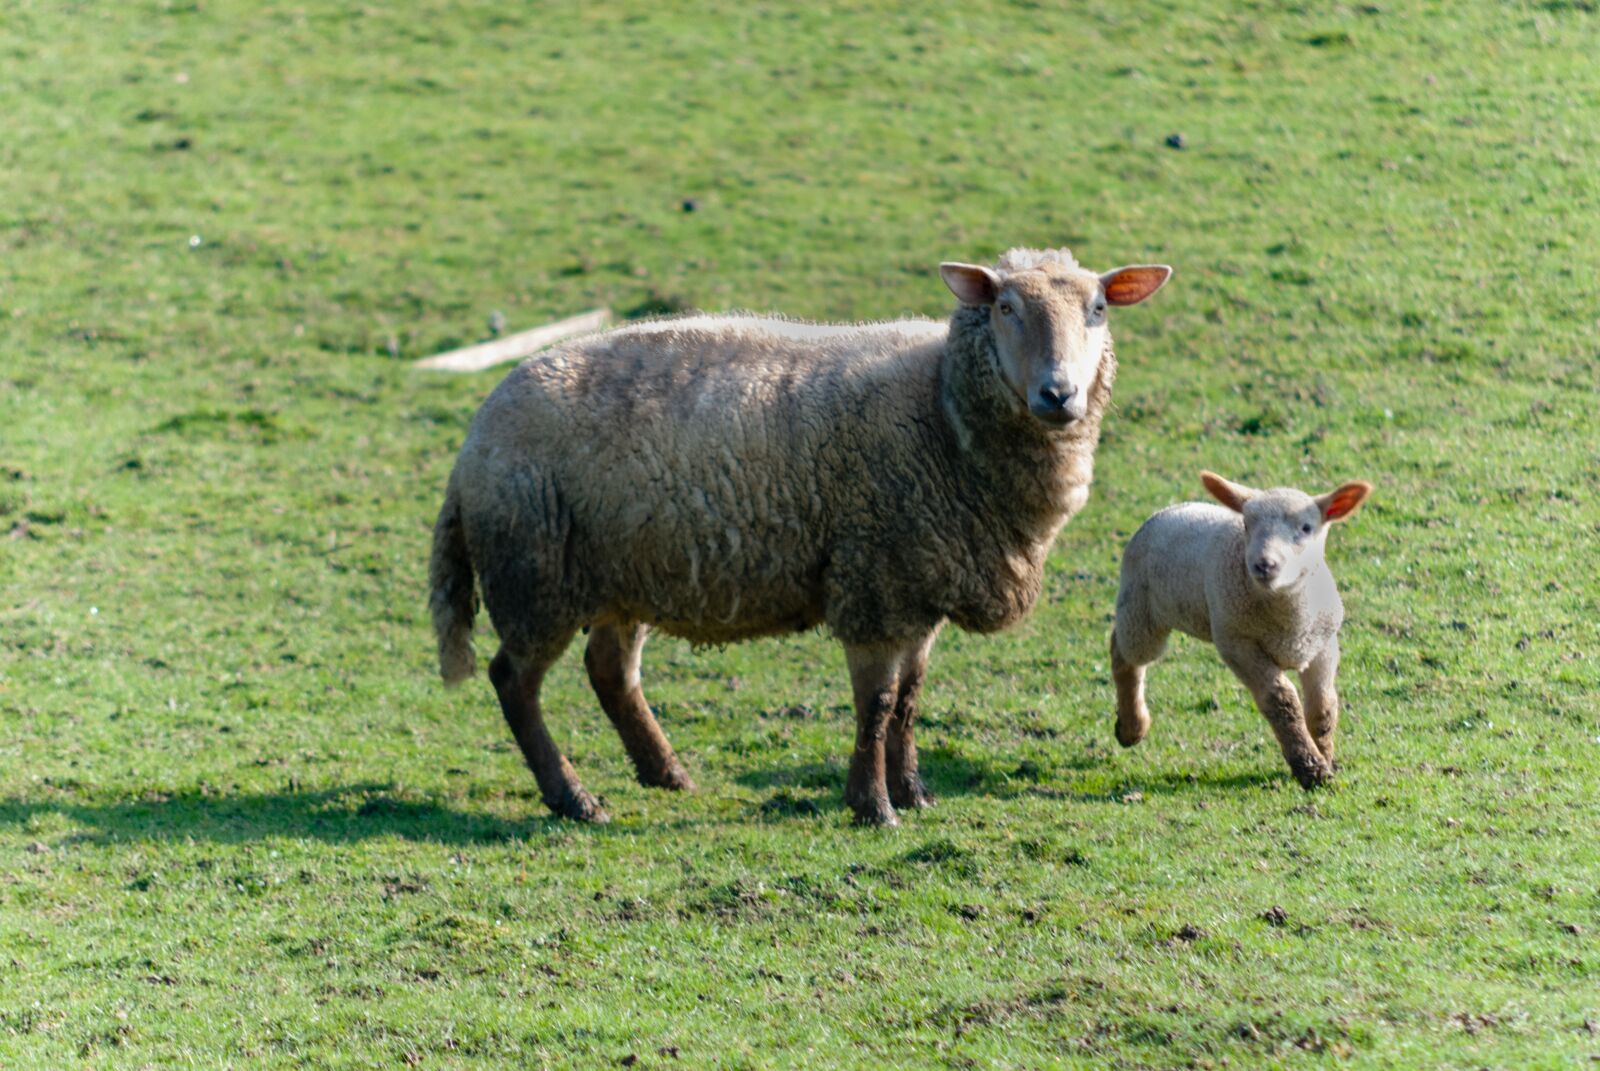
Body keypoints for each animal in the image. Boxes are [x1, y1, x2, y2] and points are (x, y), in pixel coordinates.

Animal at [430, 248, 1172, 825]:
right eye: (1005, 308)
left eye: (1099, 309)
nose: (1059, 394)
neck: (938, 406)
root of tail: (471, 443)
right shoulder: (874, 580)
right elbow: (875, 705)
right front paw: (873, 806)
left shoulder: (920, 584)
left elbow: (909, 702)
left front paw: (914, 792)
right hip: (534, 571)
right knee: (514, 681)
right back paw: (572, 797)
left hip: (623, 572)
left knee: (610, 671)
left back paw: (666, 772)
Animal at [1110, 471, 1373, 788]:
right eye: (1247, 524)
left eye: (1306, 527)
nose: (1263, 565)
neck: (1289, 618)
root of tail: (1169, 510)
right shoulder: (1237, 643)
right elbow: (1282, 701)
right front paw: (1310, 768)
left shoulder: (1322, 644)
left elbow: (1323, 707)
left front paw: (1326, 758)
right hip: (1141, 610)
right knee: (1124, 654)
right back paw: (1131, 728)